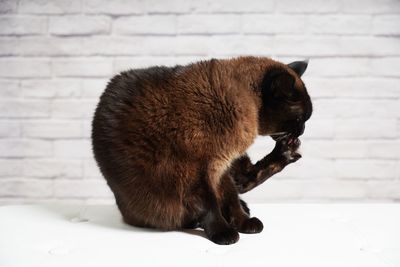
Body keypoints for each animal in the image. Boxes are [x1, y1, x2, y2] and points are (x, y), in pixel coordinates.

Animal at [91, 56, 312, 245]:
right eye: (300, 119)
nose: (302, 131)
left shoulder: (221, 169)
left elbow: (231, 200)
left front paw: (243, 223)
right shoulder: (194, 174)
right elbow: (210, 207)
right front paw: (224, 233)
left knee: (245, 180)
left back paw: (287, 152)